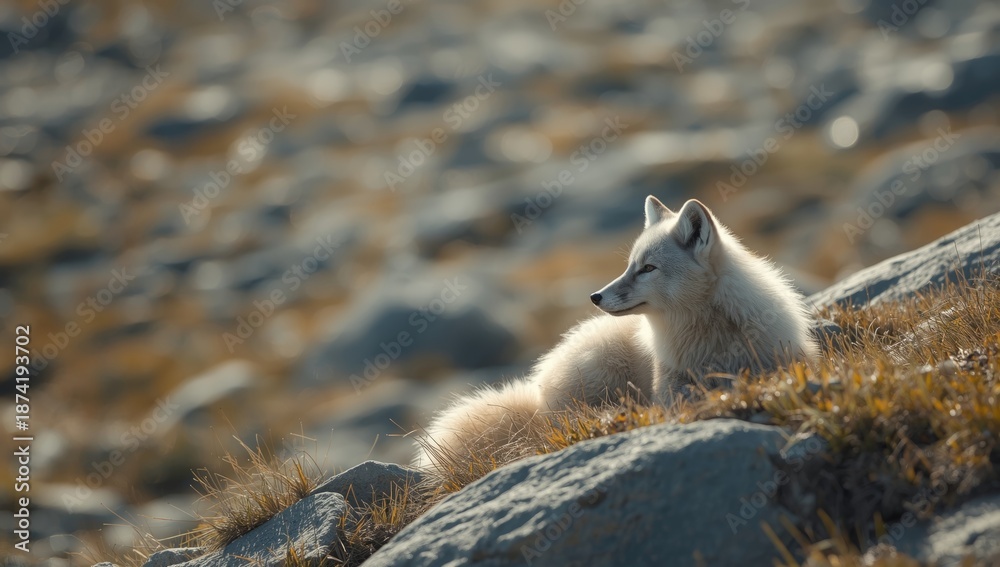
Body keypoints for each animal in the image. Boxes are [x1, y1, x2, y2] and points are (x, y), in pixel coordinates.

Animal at [414, 196, 818, 472]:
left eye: (648, 268)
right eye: (628, 266)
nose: (594, 296)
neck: (709, 338)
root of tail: (538, 392)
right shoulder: (668, 387)